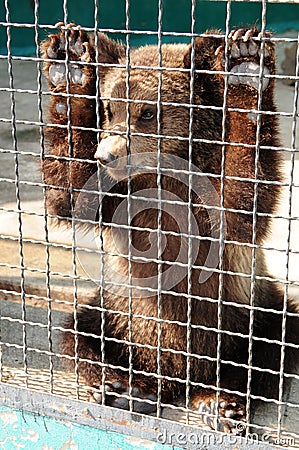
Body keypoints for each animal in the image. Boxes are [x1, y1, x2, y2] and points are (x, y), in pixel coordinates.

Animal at [41, 25, 298, 436]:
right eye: (110, 108)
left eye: (148, 111)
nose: (106, 155)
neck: (164, 173)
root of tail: (180, 376)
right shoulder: (120, 201)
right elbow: (71, 193)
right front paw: (72, 62)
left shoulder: (207, 204)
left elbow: (242, 201)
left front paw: (246, 65)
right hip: (122, 311)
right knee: (79, 331)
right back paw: (127, 387)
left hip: (250, 312)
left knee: (272, 347)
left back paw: (219, 402)